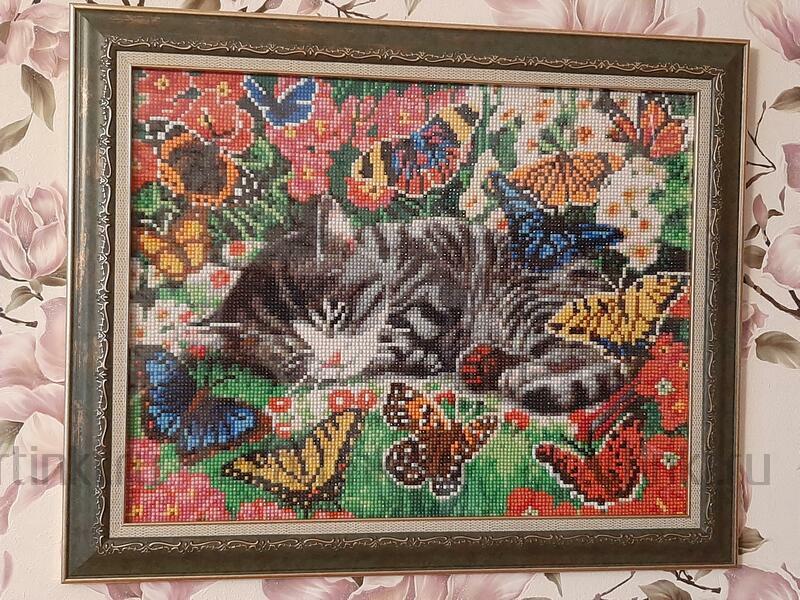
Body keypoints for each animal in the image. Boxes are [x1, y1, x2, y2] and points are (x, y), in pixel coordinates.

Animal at [210, 198, 624, 414]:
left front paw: (403, 351)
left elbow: (398, 330)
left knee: (593, 356)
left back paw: (528, 373)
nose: (331, 359)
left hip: (525, 302)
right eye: (293, 353)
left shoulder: (435, 287)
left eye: (335, 315)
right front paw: (422, 359)